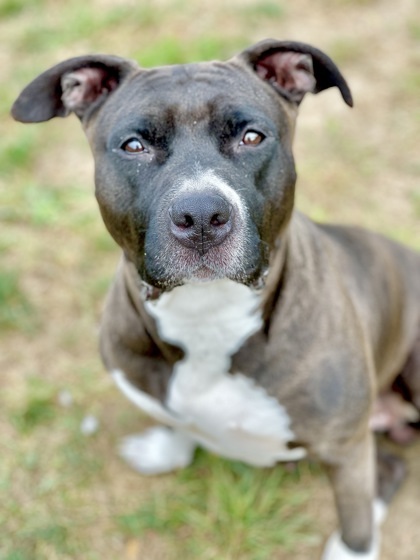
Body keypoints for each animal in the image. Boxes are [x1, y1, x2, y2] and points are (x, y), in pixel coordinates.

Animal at [12, 40, 420, 560]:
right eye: (134, 146)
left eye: (252, 137)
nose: (202, 214)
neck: (206, 315)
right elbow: (179, 423)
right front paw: (166, 451)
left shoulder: (346, 447)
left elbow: (354, 515)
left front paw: (352, 549)